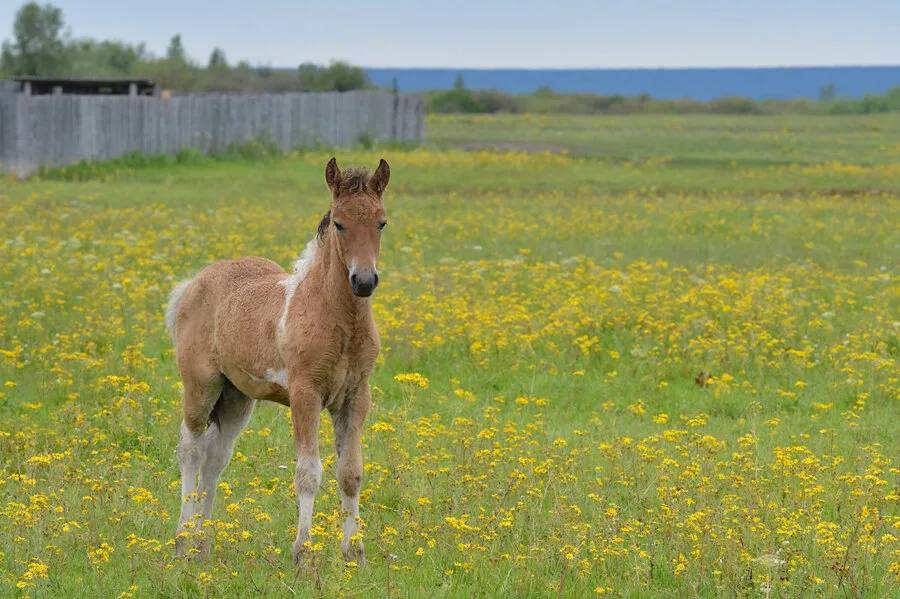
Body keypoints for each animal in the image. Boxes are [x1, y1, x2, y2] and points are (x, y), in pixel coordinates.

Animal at [169, 157, 386, 564]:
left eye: (382, 222)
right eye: (339, 223)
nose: (363, 281)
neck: (336, 317)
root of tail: (193, 283)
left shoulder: (355, 396)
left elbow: (350, 473)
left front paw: (355, 554)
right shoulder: (305, 394)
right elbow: (308, 473)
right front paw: (303, 555)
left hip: (236, 397)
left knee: (215, 458)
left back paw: (203, 545)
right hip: (201, 385)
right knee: (190, 451)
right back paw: (183, 540)